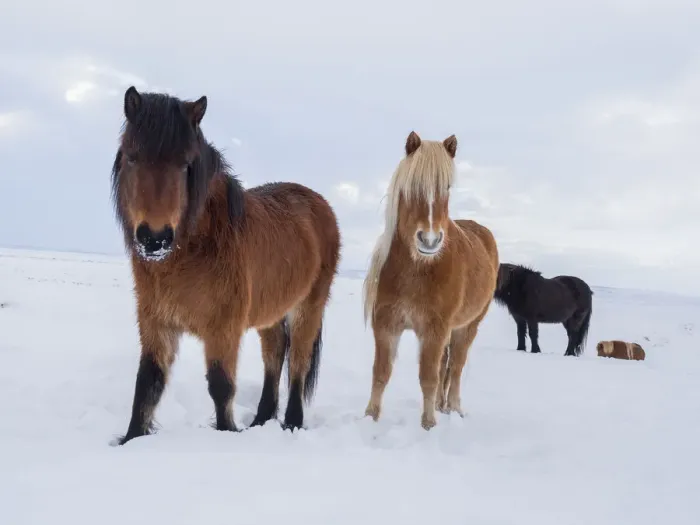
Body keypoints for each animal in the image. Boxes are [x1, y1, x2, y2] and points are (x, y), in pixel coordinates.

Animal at [110, 86, 341, 445]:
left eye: (185, 164)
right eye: (132, 156)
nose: (154, 239)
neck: (192, 251)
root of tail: (320, 204)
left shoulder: (223, 328)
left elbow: (221, 386)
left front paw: (226, 433)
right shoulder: (156, 323)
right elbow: (147, 383)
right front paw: (132, 439)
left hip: (309, 307)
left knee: (298, 364)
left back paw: (291, 423)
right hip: (271, 313)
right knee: (275, 354)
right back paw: (261, 420)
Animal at [362, 131, 499, 430]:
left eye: (446, 186)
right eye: (412, 184)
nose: (429, 240)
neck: (417, 270)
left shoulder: (434, 330)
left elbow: (428, 377)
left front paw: (428, 425)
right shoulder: (386, 325)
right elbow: (380, 373)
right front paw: (369, 418)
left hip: (467, 327)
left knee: (456, 366)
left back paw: (454, 408)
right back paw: (441, 405)